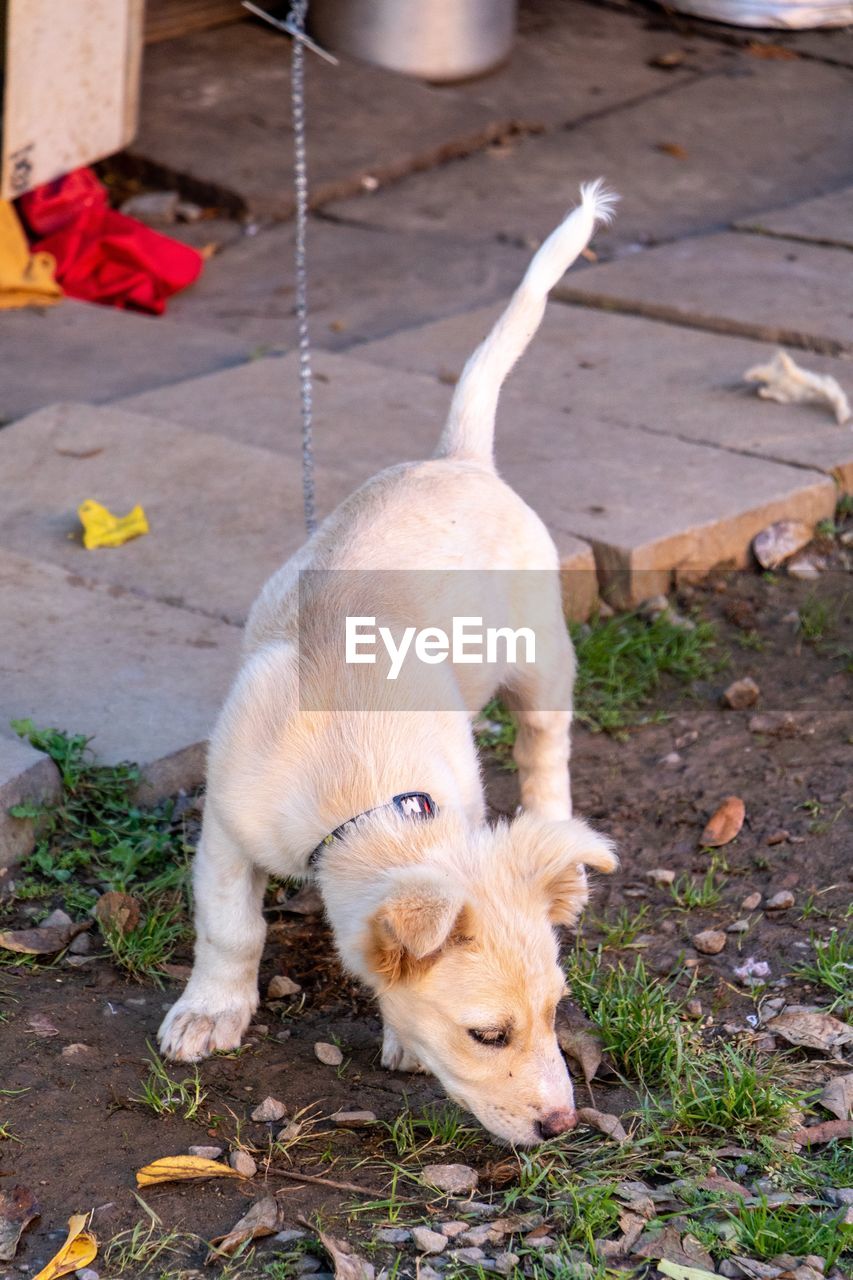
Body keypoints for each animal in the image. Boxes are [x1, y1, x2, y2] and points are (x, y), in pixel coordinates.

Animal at [156, 183, 614, 1152]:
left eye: (556, 1011)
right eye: (489, 1034)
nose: (564, 1125)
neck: (358, 775)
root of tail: (457, 458)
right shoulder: (225, 833)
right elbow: (232, 929)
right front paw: (213, 1010)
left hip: (541, 657)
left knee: (544, 748)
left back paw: (558, 841)